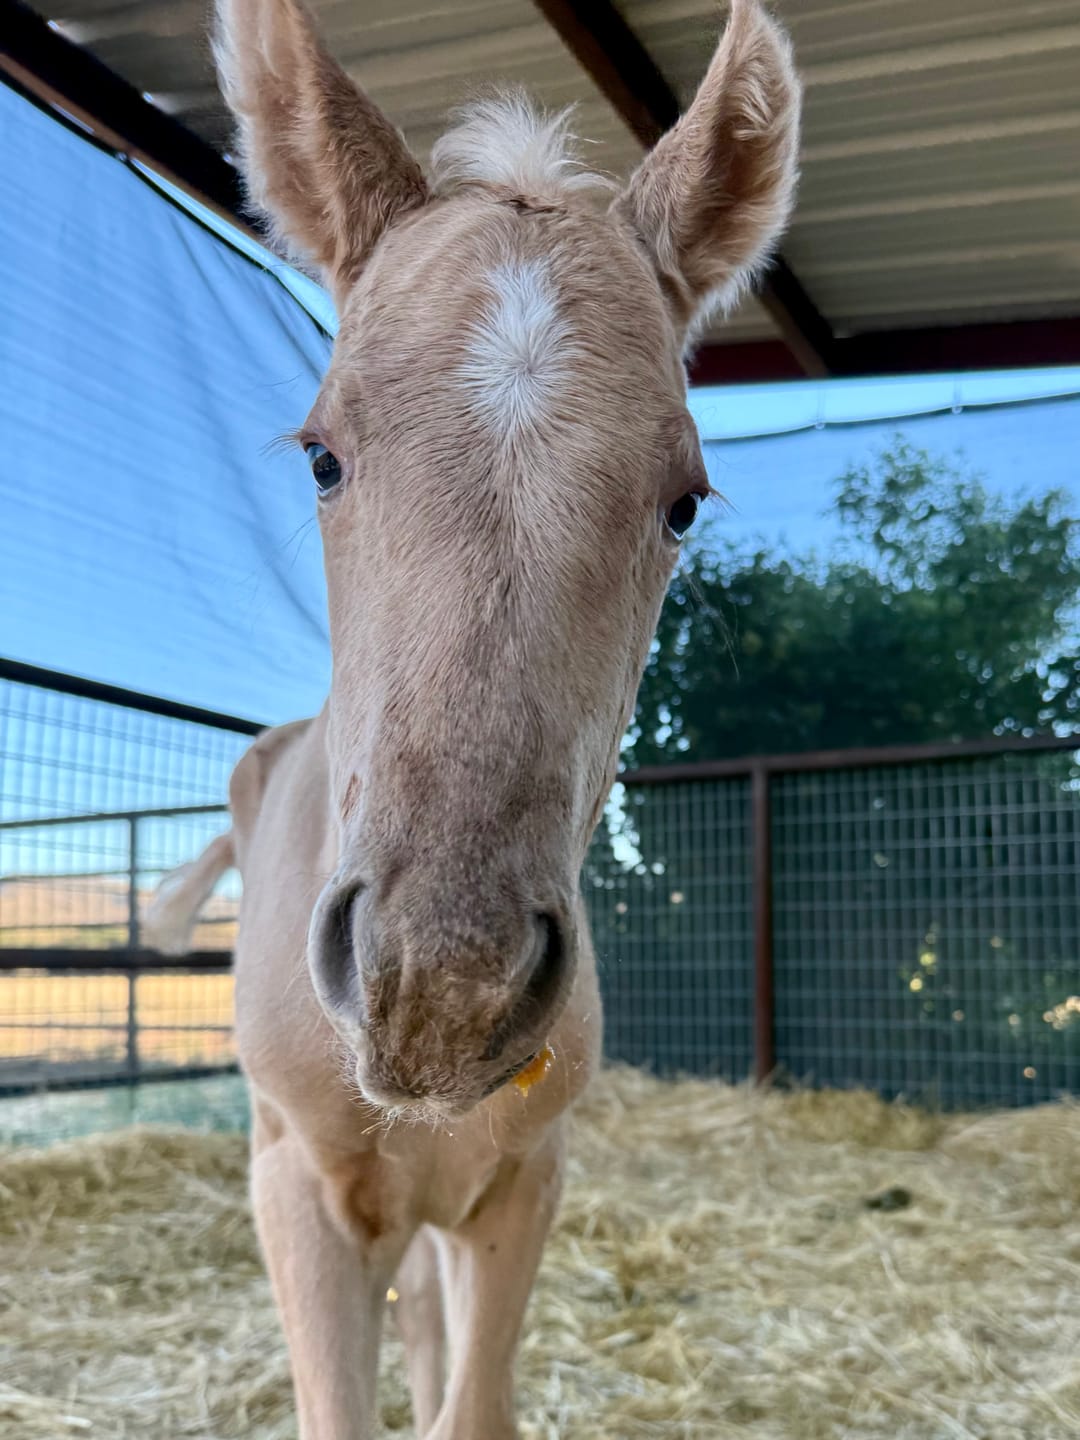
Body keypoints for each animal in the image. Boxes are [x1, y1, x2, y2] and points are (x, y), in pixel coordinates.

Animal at [149, 2, 800, 1434]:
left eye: (684, 498)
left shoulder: (524, 1180)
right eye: (323, 456)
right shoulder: (296, 1191)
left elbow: (472, 1400)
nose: (441, 989)